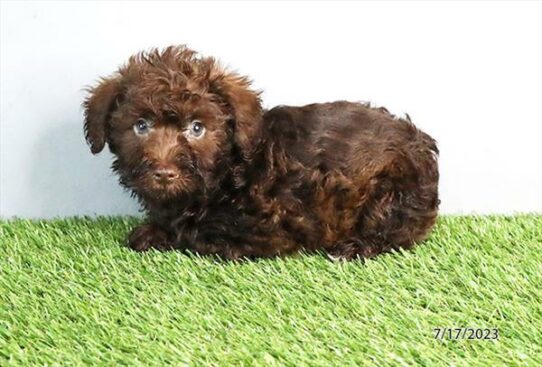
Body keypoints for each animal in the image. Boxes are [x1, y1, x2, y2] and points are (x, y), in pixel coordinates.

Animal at [85, 45, 442, 258]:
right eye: (141, 126)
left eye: (197, 128)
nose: (163, 173)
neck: (228, 170)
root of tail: (422, 142)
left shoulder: (263, 229)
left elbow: (195, 233)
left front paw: (153, 234)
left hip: (391, 195)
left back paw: (353, 247)